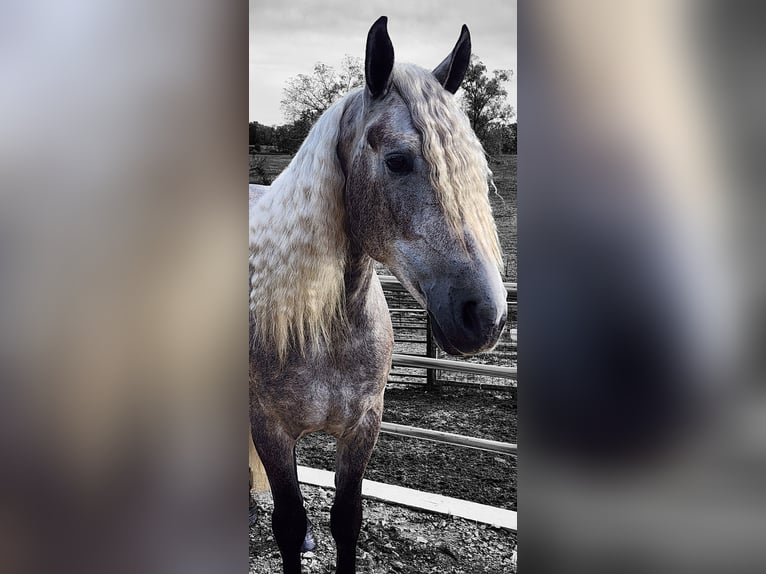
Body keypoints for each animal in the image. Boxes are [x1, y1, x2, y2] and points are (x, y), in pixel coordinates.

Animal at [249, 16, 508, 574]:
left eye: (475, 169)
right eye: (397, 160)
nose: (487, 315)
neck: (322, 323)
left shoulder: (363, 426)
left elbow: (346, 521)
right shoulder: (270, 428)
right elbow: (289, 522)